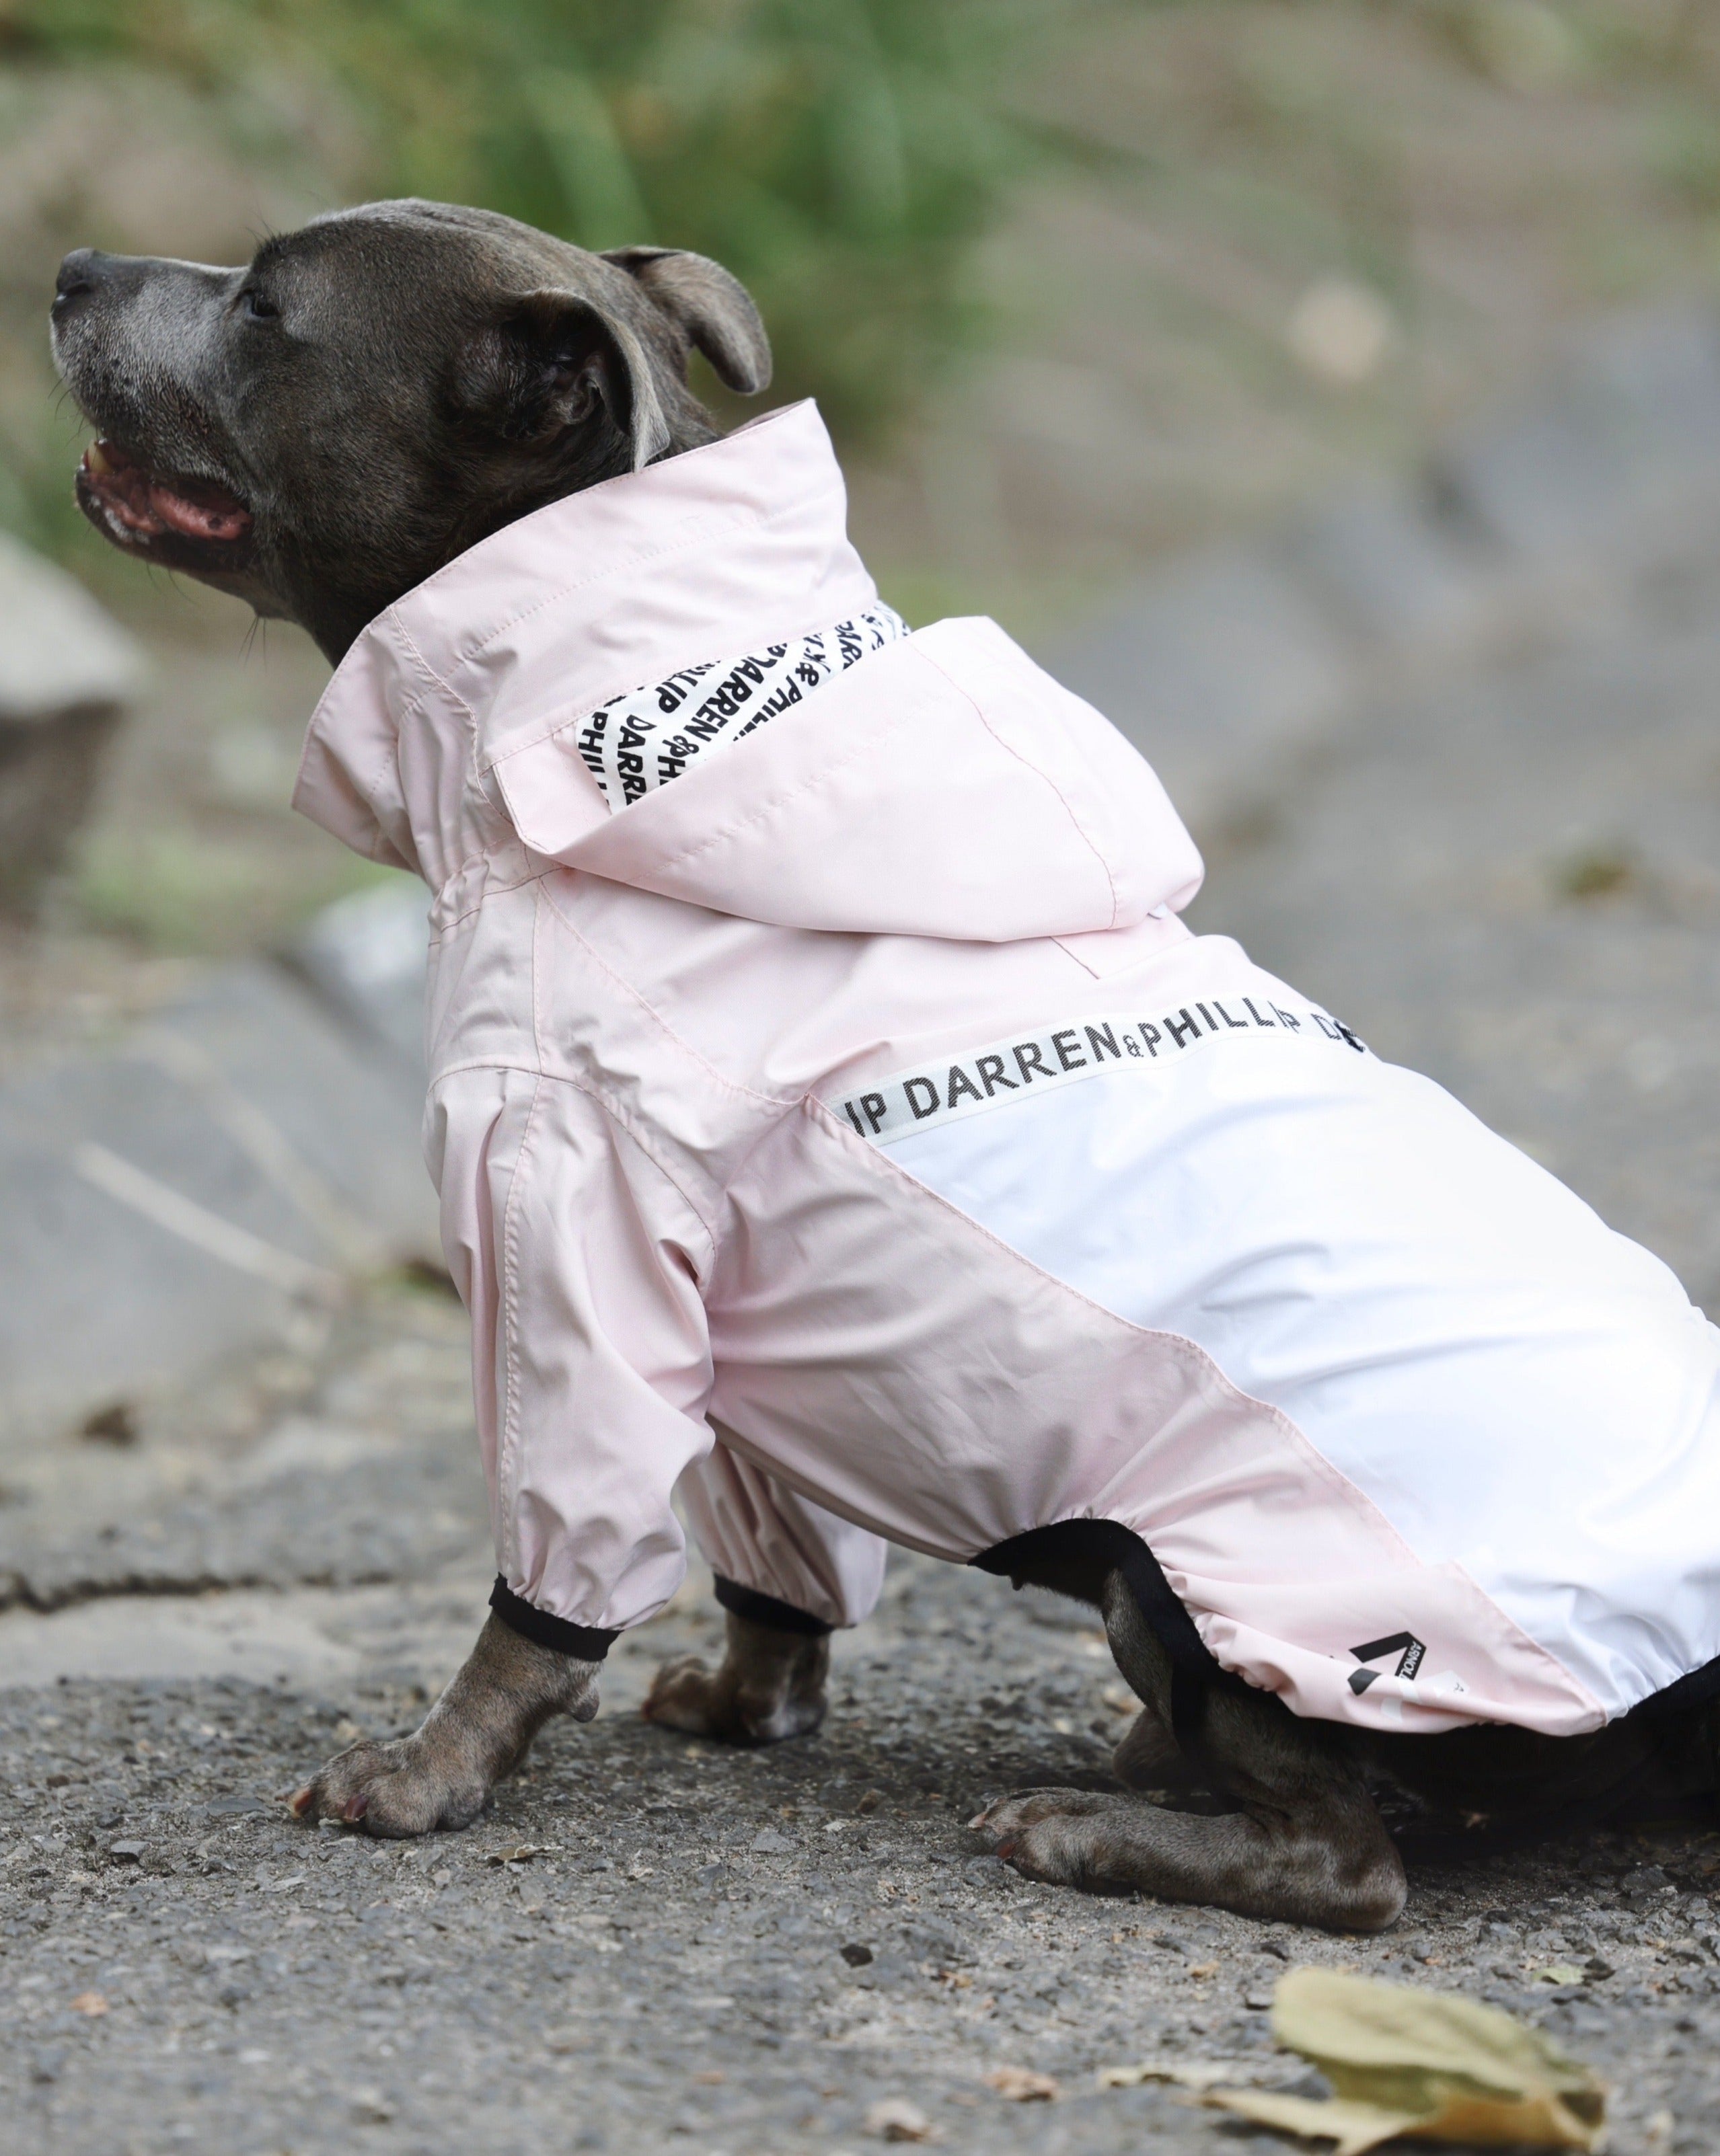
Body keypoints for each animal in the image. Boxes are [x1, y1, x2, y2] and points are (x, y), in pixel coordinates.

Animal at [54, 202, 1720, 1931]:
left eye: (265, 306)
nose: (69, 269)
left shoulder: (569, 1235)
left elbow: (541, 1591)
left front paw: (434, 1772)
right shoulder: (731, 1332)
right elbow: (770, 1572)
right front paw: (747, 1703)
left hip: (1216, 1593)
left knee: (1348, 1863)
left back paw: (1094, 1824)